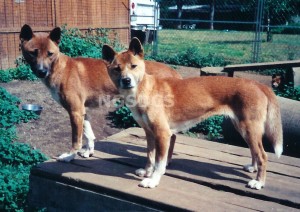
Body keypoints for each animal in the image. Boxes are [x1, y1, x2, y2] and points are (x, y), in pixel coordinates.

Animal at [20, 24, 180, 161]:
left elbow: (76, 140)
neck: (61, 69)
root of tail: (174, 73)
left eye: (50, 54)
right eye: (33, 53)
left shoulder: (75, 111)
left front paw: (69, 156)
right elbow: (89, 135)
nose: (41, 71)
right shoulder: (82, 111)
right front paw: (88, 152)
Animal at [104, 37, 282, 190]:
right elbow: (150, 156)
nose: (126, 80)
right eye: (117, 69)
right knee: (254, 151)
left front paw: (153, 180)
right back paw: (252, 168)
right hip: (243, 128)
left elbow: (159, 163)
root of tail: (258, 84)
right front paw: (147, 172)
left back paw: (258, 182)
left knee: (263, 155)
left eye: (133, 66)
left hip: (249, 127)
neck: (145, 90)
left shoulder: (162, 134)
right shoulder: (149, 132)